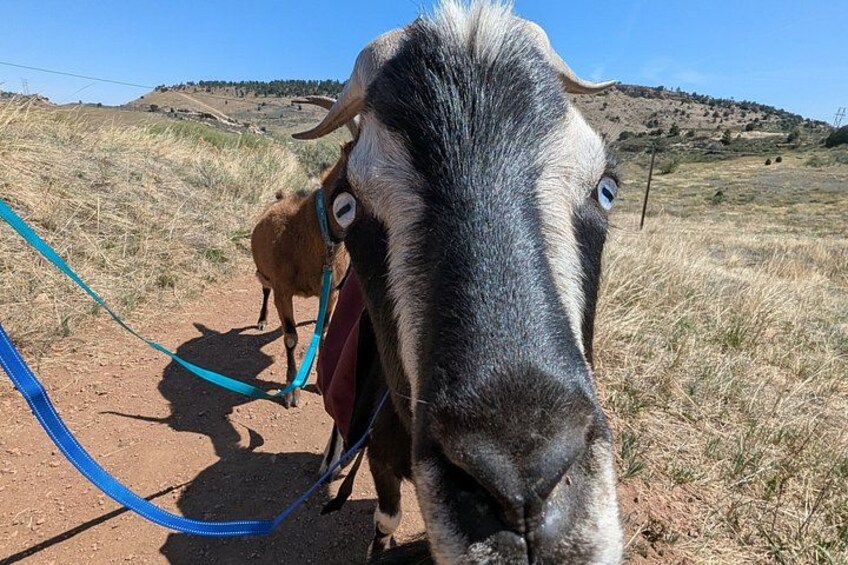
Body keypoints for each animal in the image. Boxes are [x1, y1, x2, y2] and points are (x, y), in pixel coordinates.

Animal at [250, 155, 349, 408]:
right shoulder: (283, 291)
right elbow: (291, 338)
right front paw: (292, 391)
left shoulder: (332, 291)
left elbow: (323, 331)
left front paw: (320, 381)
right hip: (263, 273)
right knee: (264, 289)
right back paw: (262, 320)